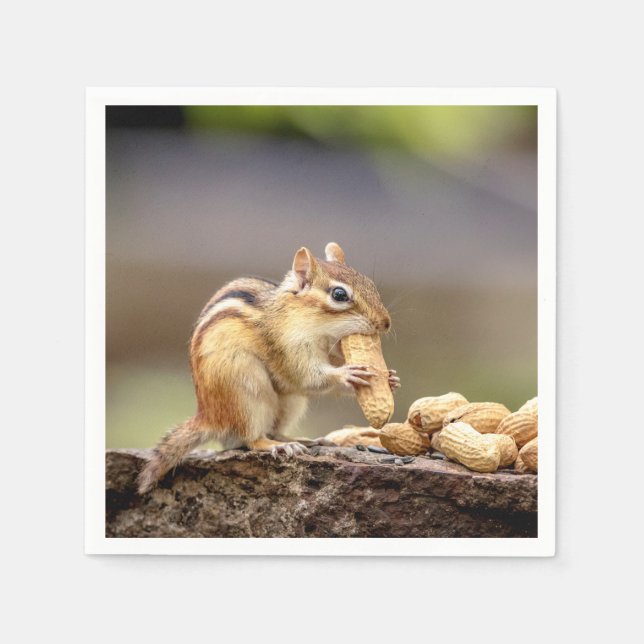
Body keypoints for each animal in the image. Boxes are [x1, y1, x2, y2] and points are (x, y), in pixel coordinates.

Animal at [137, 242, 399, 494]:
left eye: (370, 284)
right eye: (339, 294)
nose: (386, 323)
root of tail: (209, 417)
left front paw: (391, 378)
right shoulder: (287, 347)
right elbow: (308, 377)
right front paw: (347, 374)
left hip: (291, 402)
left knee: (275, 428)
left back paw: (300, 440)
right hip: (246, 391)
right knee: (252, 439)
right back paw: (279, 446)